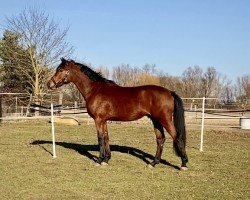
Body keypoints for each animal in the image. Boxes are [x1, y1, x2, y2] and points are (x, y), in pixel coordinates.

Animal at [47, 57, 188, 170]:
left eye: (60, 70)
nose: (49, 84)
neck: (95, 90)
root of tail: (170, 92)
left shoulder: (98, 119)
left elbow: (100, 138)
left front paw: (99, 160)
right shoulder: (104, 120)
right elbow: (106, 137)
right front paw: (106, 159)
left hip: (164, 119)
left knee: (177, 137)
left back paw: (183, 164)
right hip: (156, 120)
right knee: (160, 139)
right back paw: (153, 163)